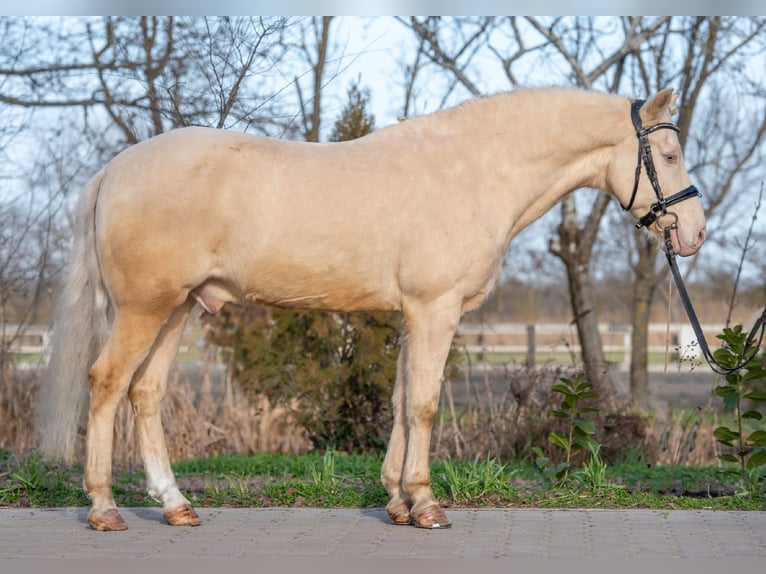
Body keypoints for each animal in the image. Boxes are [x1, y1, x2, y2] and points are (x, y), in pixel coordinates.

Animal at [36, 86, 708, 536]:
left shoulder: (415, 313)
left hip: (179, 309)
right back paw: (104, 509)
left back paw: (176, 506)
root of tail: (115, 169)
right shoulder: (436, 309)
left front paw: (396, 501)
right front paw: (427, 505)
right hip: (144, 308)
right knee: (106, 383)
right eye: (669, 154)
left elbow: (402, 401)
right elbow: (426, 404)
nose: (695, 233)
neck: (475, 170)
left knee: (144, 393)